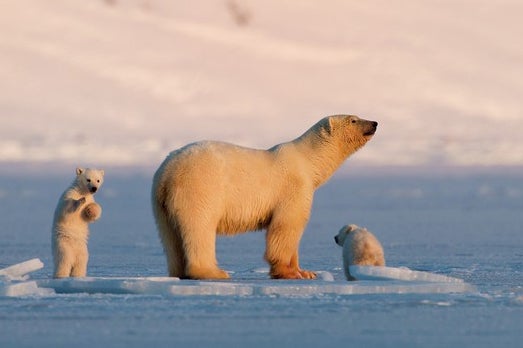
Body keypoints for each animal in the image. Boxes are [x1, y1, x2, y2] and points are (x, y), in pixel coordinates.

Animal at [151, 115, 376, 280]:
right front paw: (290, 273)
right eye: (353, 119)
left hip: (160, 203)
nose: (374, 123)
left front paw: (306, 272)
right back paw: (213, 272)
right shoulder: (293, 187)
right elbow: (286, 227)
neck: (307, 161)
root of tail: (167, 172)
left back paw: (179, 272)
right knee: (200, 227)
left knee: (170, 237)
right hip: (200, 188)